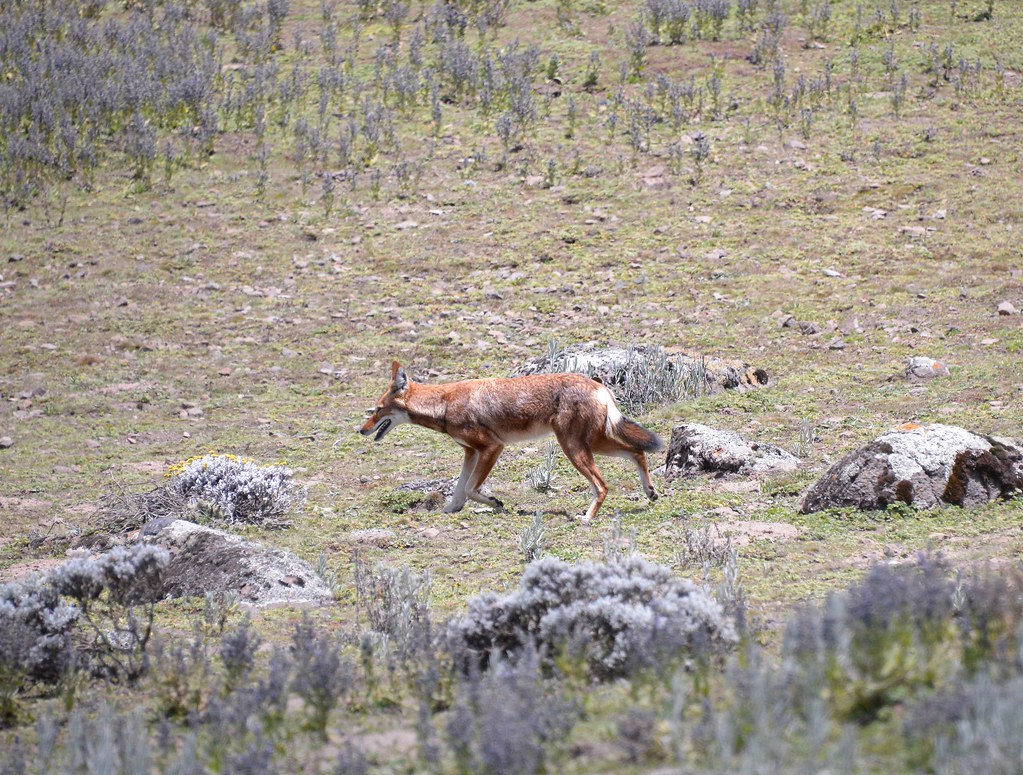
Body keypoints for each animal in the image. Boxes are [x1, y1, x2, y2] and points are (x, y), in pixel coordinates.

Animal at [359, 361, 663, 522]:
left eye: (377, 410)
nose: (361, 430)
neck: (444, 404)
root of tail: (599, 385)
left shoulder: (492, 448)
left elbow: (470, 488)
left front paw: (495, 502)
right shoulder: (470, 452)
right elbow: (460, 489)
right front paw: (451, 510)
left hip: (575, 449)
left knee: (603, 485)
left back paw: (587, 518)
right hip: (593, 445)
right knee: (638, 452)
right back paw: (650, 492)